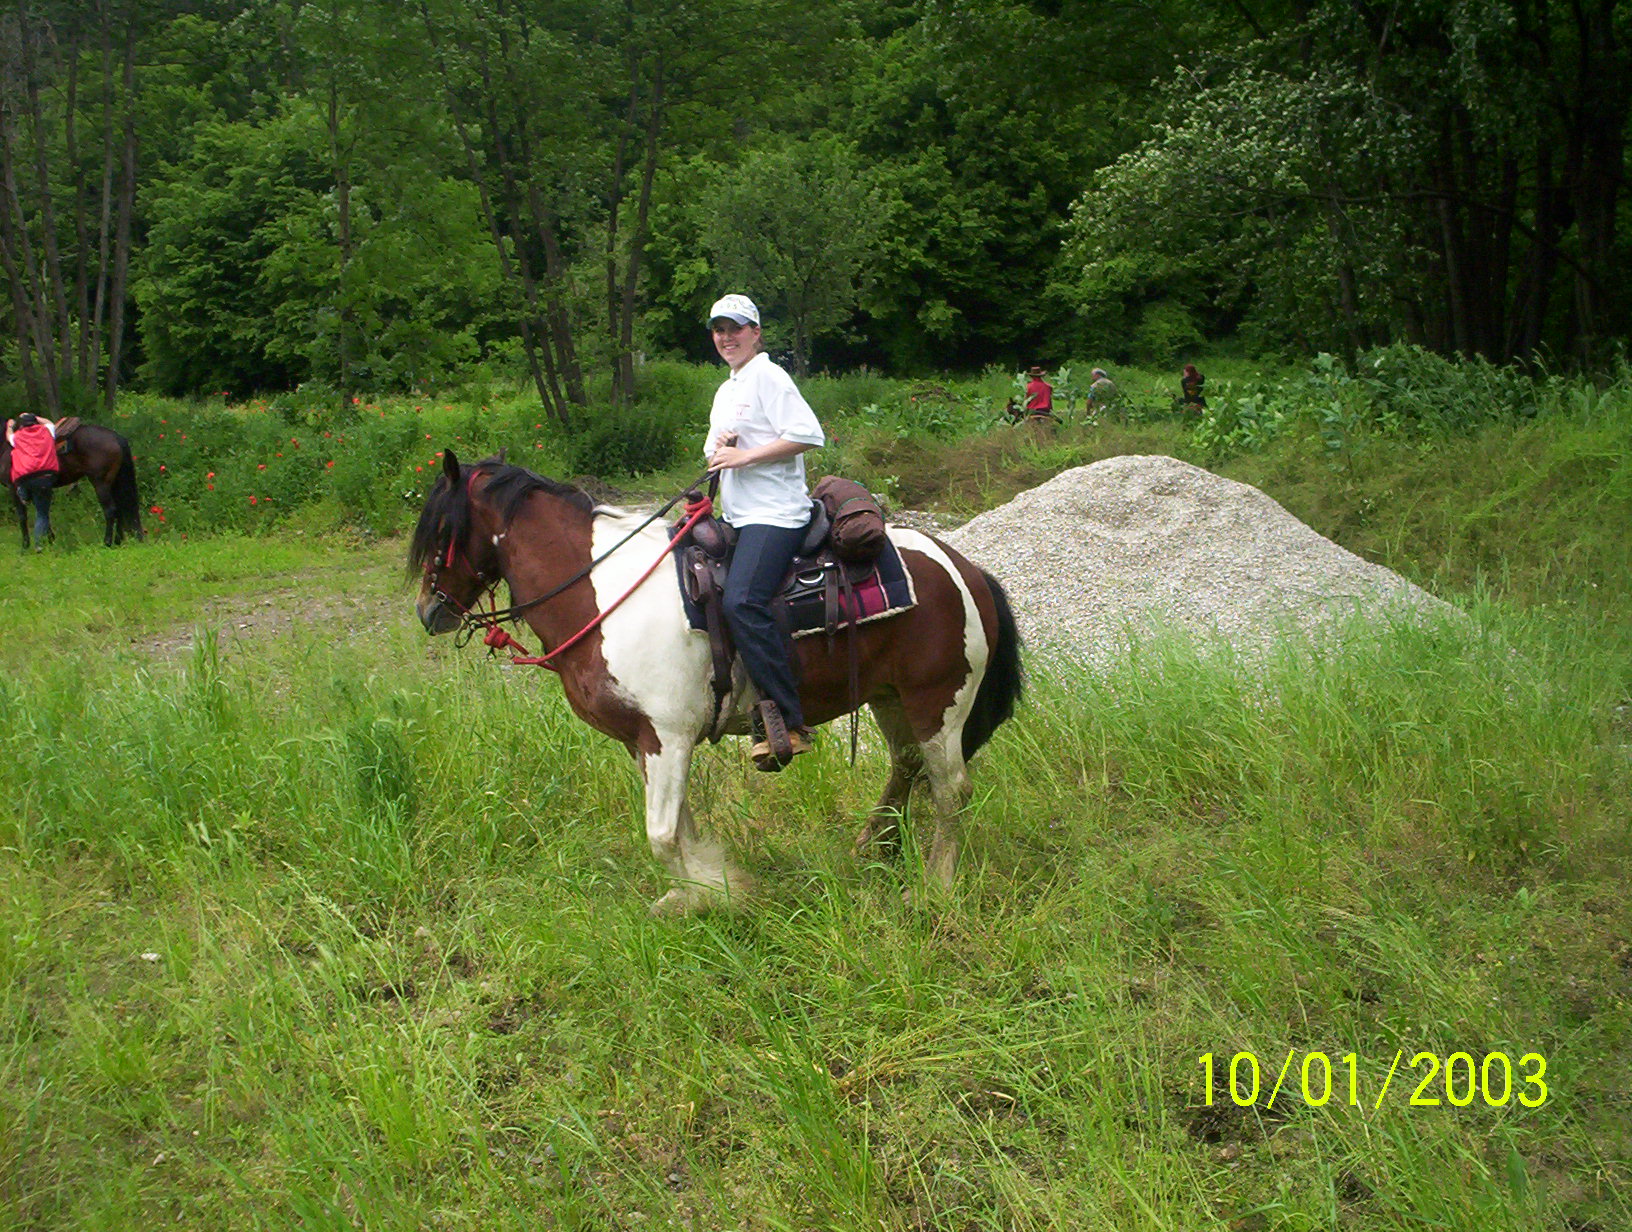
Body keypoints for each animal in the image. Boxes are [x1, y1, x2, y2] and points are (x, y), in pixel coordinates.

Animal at [3, 420, 145, 548]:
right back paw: (118, 541)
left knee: (110, 510)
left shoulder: (14, 488)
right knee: (120, 509)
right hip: (114, 482)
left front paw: (25, 546)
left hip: (101, 484)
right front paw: (50, 540)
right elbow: (43, 515)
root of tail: (115, 436)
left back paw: (107, 543)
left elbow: (23, 516)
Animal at [409, 451, 1024, 915]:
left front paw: (717, 893)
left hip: (937, 701)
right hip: (890, 698)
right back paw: (873, 847)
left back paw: (936, 886)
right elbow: (677, 825)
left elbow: (661, 835)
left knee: (950, 790)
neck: (604, 594)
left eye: (440, 530)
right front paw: (692, 893)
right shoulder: (645, 741)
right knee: (907, 766)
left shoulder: (668, 735)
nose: (428, 611)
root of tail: (965, 568)